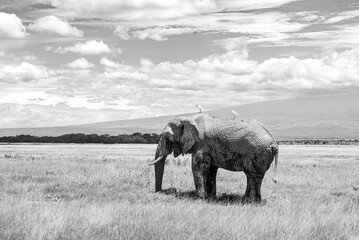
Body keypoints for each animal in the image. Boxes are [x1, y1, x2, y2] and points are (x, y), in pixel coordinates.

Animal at [149, 113, 278, 203]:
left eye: (168, 138)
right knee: (253, 177)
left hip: (258, 152)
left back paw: (249, 203)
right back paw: (249, 202)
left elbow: (199, 169)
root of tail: (274, 144)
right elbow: (211, 170)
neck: (189, 118)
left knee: (252, 175)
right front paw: (211, 199)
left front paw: (199, 200)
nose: (160, 192)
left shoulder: (202, 144)